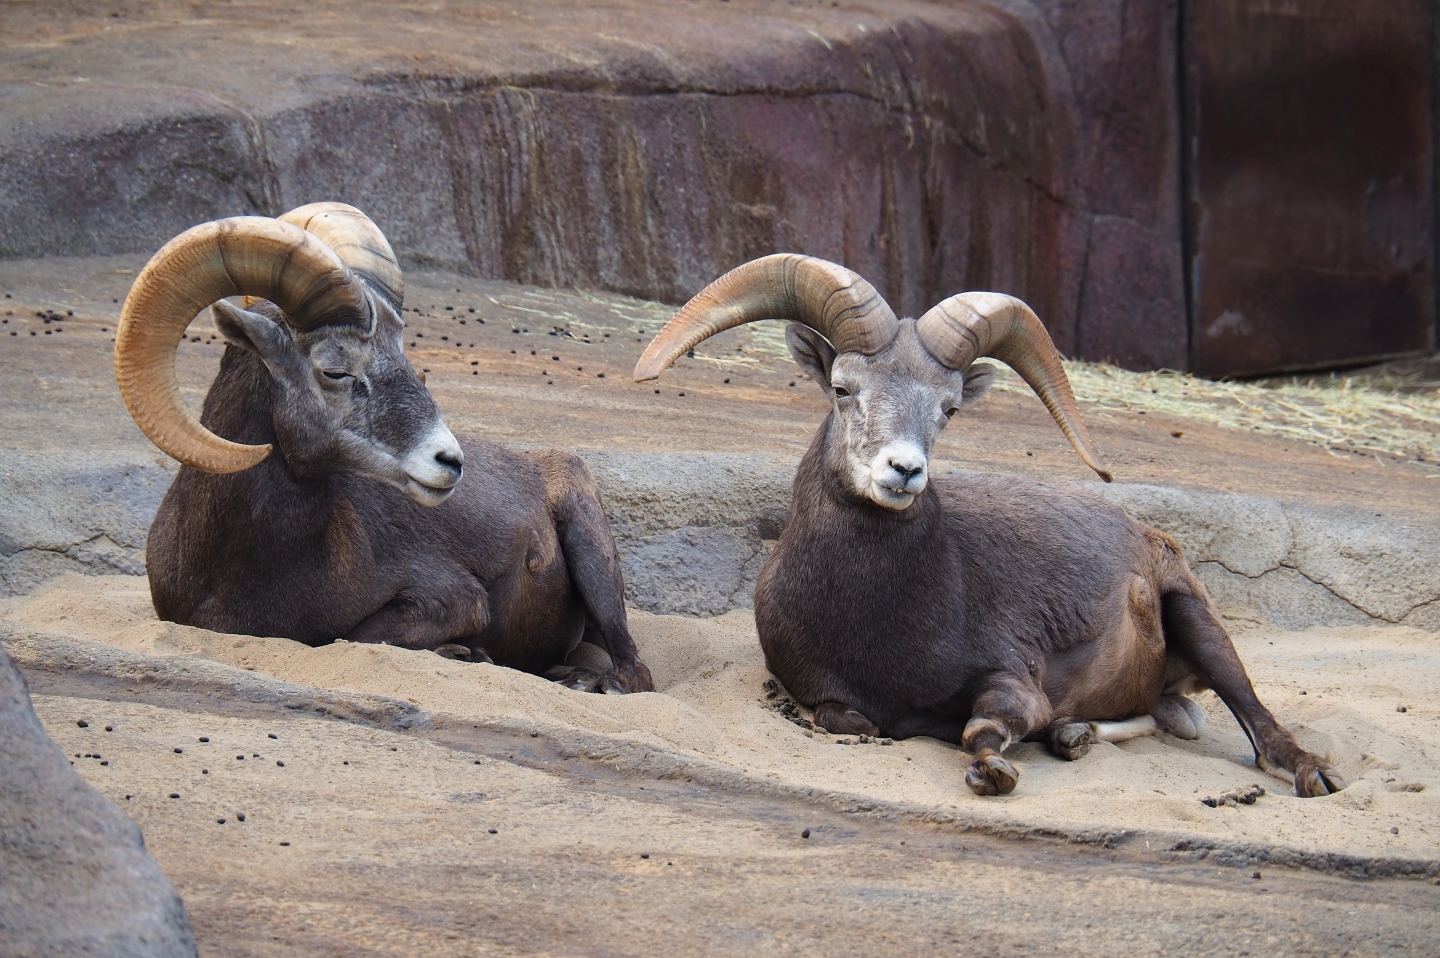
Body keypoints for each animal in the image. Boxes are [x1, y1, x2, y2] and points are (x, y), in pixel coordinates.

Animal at [114, 203, 652, 693]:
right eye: (335, 369)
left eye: (403, 354)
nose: (449, 462)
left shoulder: (452, 598)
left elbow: (354, 637)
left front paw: (466, 654)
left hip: (592, 554)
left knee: (635, 673)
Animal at [633, 254, 1342, 795]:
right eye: (842, 387)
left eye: (948, 409)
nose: (904, 471)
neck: (872, 614)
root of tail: (1149, 539)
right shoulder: (825, 698)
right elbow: (854, 721)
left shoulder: (1011, 681)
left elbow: (985, 728)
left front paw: (994, 770)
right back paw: (1075, 734)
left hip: (1199, 621)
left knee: (1257, 729)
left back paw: (1310, 775)